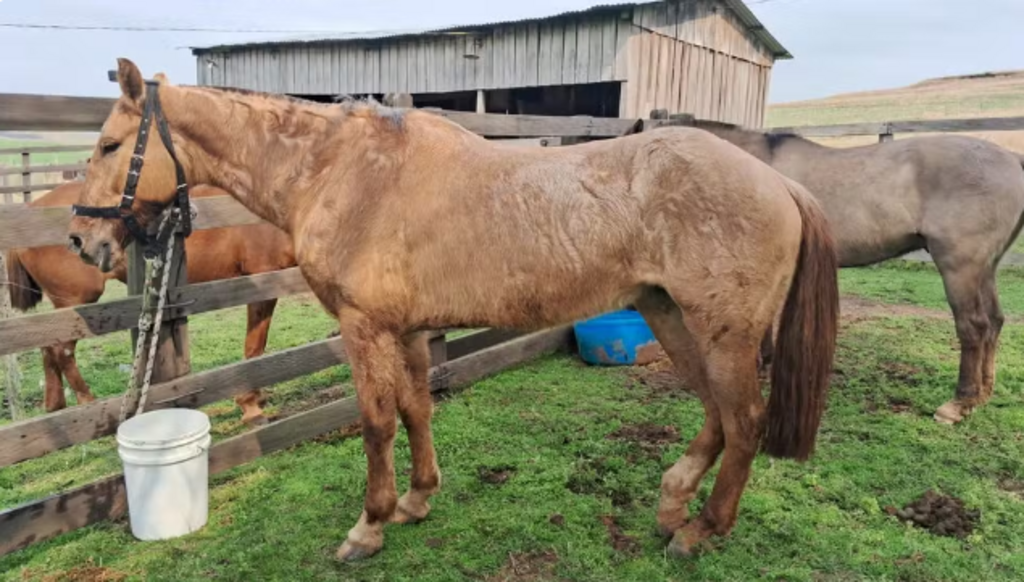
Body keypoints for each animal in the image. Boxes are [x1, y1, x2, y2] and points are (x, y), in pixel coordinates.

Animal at [7, 180, 296, 422]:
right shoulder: (262, 280)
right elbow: (254, 346)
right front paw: (250, 404)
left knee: (48, 348)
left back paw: (55, 405)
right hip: (75, 300)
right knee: (61, 351)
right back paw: (87, 401)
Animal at [64, 59, 839, 557]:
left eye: (109, 144)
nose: (81, 240)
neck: (338, 170)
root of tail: (777, 183)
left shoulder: (364, 329)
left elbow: (376, 423)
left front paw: (368, 526)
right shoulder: (406, 330)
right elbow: (416, 411)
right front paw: (417, 499)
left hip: (721, 331)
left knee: (744, 422)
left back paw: (701, 530)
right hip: (673, 317)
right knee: (717, 415)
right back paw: (673, 504)